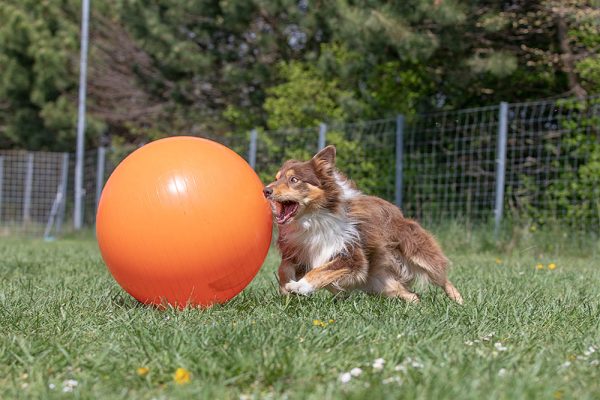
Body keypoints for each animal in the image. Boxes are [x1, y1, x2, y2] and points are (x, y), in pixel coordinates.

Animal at [262, 144, 464, 304]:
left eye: (294, 180)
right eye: (277, 178)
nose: (266, 190)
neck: (313, 219)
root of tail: (398, 212)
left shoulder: (353, 256)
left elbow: (321, 270)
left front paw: (300, 286)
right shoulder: (299, 251)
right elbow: (283, 268)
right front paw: (286, 289)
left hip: (416, 251)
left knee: (440, 276)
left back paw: (458, 300)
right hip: (382, 284)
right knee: (412, 295)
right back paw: (417, 306)